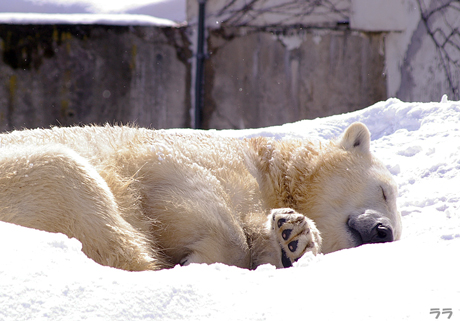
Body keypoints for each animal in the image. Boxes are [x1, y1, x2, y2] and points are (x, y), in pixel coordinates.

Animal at [0, 122, 400, 270]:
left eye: (398, 231)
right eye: (384, 191)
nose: (384, 232)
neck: (268, 169)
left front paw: (292, 237)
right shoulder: (172, 157)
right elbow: (196, 196)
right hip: (22, 174)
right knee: (69, 176)